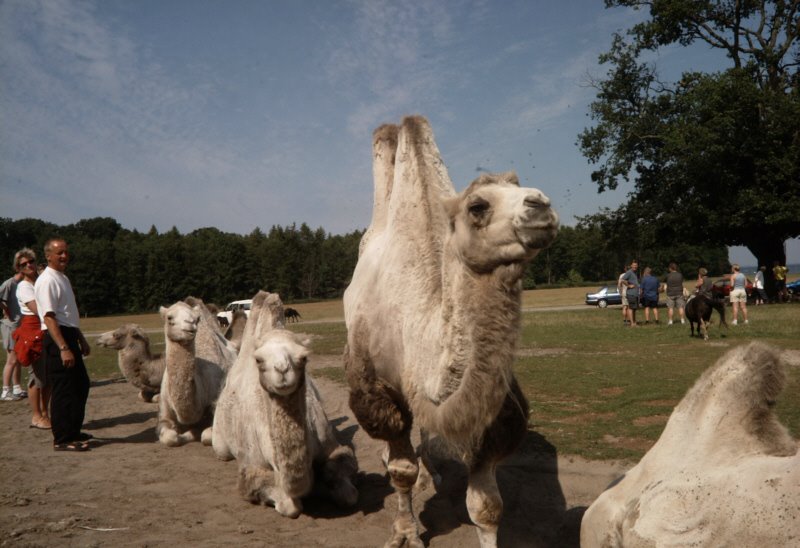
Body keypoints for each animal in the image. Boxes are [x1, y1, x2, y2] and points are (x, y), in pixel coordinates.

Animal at [211, 292, 358, 520]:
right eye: (259, 359)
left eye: (304, 357)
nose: (282, 370)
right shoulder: (250, 467)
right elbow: (290, 506)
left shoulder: (332, 446)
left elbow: (348, 493)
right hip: (220, 443)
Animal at [342, 116, 556, 548]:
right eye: (478, 206)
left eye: (521, 186)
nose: (541, 204)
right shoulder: (379, 393)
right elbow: (401, 470)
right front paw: (405, 532)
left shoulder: (493, 416)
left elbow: (487, 508)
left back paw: (432, 473)